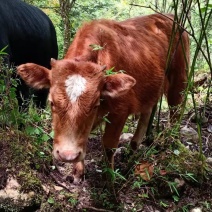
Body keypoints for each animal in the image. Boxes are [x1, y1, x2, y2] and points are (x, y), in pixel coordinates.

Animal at [17, 13, 189, 182]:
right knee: (147, 110)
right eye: (52, 103)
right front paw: (78, 170)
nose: (67, 155)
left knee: (175, 111)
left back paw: (170, 144)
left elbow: (109, 146)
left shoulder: (120, 111)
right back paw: (134, 146)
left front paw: (109, 178)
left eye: (94, 105)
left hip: (179, 81)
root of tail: (168, 17)